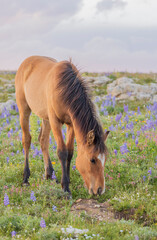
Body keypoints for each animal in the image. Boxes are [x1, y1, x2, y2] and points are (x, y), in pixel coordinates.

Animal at [15, 55, 110, 195]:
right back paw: (26, 178)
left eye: (105, 159)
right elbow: (62, 152)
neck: (64, 89)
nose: (99, 190)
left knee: (43, 141)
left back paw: (49, 174)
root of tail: (26, 61)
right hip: (24, 110)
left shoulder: (71, 124)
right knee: (27, 140)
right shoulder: (55, 121)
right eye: (92, 160)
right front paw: (65, 188)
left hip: (45, 117)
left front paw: (67, 181)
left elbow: (70, 152)